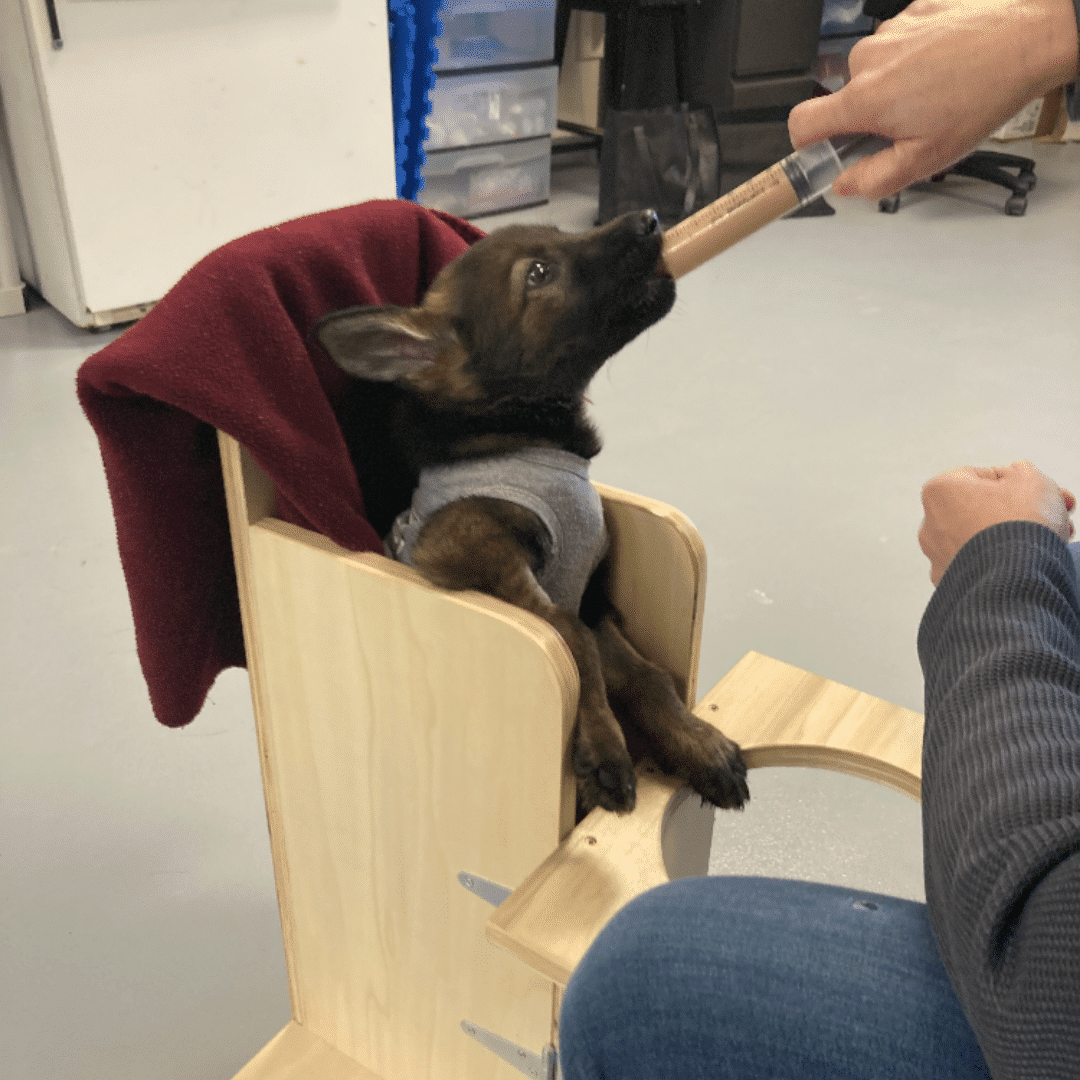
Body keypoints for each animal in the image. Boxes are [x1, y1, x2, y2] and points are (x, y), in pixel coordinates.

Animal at [315, 208, 747, 816]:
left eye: (561, 234)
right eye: (538, 273)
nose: (650, 218)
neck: (523, 434)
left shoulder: (589, 596)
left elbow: (646, 676)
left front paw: (696, 743)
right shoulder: (466, 551)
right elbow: (571, 636)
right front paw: (605, 748)